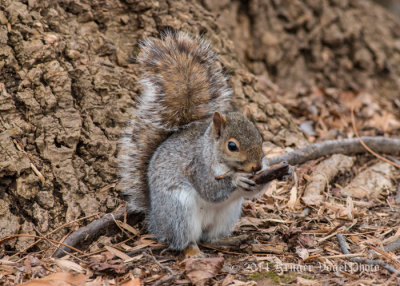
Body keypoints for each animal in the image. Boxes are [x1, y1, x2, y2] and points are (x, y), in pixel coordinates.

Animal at [120, 31, 268, 256]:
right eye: (232, 146)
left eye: (260, 138)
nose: (256, 167)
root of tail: (156, 220)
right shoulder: (197, 165)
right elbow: (210, 189)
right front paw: (237, 180)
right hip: (180, 211)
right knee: (183, 240)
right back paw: (193, 251)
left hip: (227, 214)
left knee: (210, 237)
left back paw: (228, 240)